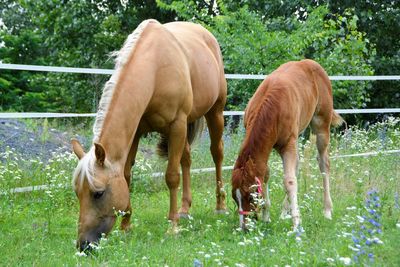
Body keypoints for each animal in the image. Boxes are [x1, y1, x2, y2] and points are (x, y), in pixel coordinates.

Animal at [70, 18, 227, 251]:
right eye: (77, 192)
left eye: (98, 193)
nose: (84, 245)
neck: (155, 70)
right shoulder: (137, 132)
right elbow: (127, 175)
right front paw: (126, 226)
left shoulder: (177, 125)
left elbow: (171, 176)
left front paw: (172, 227)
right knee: (186, 160)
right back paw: (184, 210)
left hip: (214, 112)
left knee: (217, 154)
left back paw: (220, 206)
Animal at [231, 60, 344, 230]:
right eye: (234, 198)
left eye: (250, 197)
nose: (245, 227)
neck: (271, 107)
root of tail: (311, 63)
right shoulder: (270, 148)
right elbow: (267, 174)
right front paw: (267, 215)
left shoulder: (288, 144)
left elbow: (289, 181)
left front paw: (297, 224)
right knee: (296, 167)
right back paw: (284, 212)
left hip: (321, 126)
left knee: (324, 164)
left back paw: (327, 211)